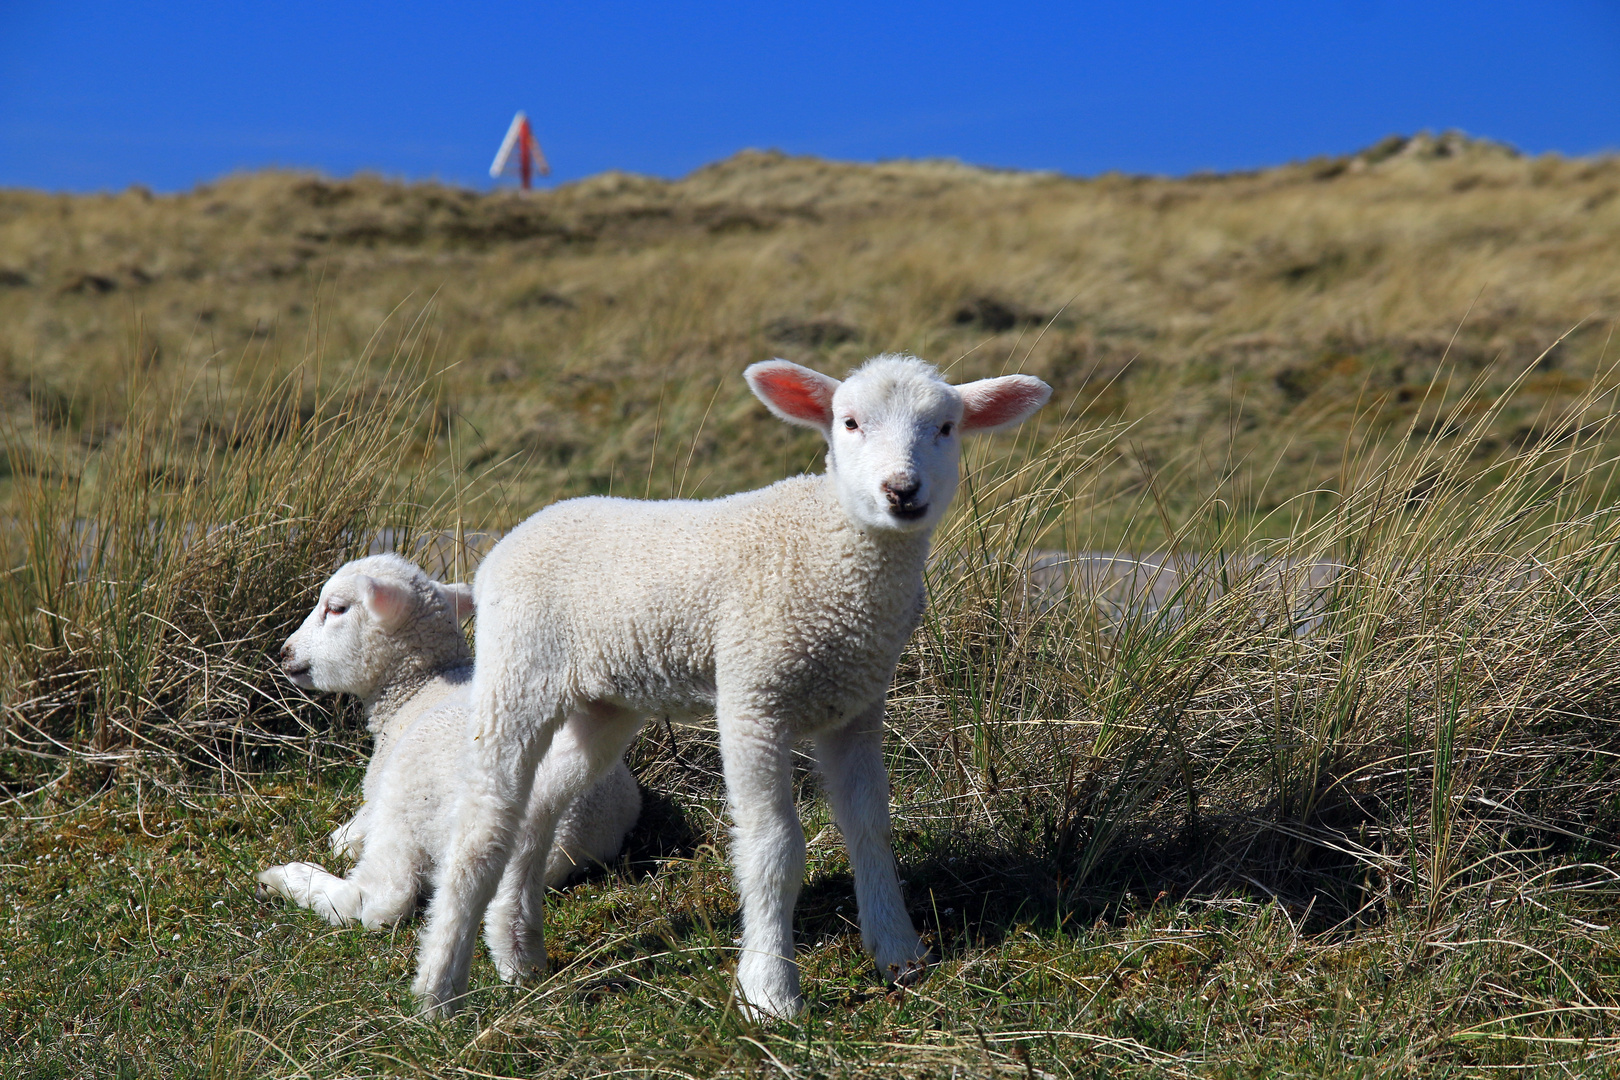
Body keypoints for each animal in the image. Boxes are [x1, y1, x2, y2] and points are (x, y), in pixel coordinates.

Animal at [255, 557, 641, 932]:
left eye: (336, 608)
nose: (284, 652)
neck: (417, 688)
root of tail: (564, 837)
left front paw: (343, 840)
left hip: (412, 794)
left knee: (379, 899)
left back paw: (286, 879)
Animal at [411, 356, 1056, 1023]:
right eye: (849, 422)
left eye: (946, 428)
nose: (902, 491)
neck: (833, 549)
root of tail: (511, 540)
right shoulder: (754, 695)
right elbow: (774, 848)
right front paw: (770, 991)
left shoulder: (854, 705)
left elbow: (870, 829)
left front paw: (900, 954)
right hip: (519, 668)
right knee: (484, 819)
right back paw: (439, 990)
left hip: (605, 700)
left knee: (538, 806)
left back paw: (517, 952)